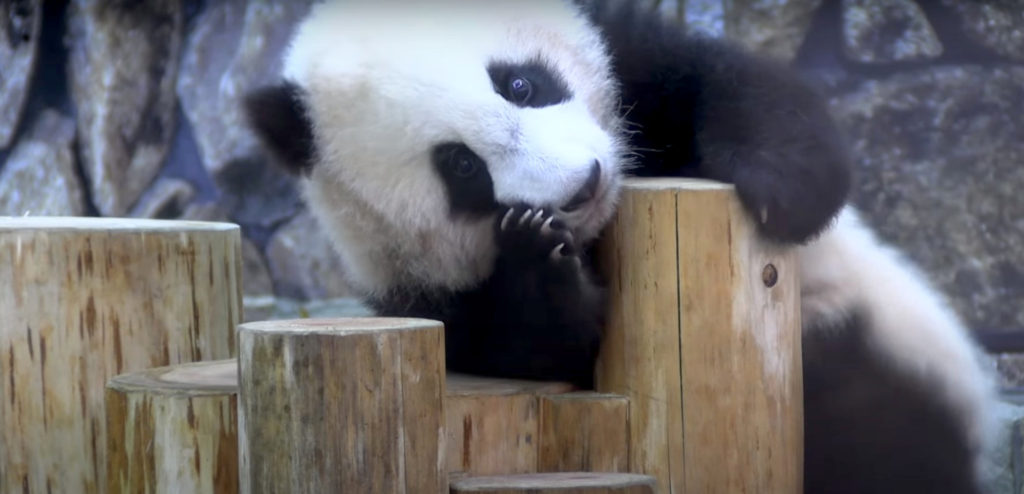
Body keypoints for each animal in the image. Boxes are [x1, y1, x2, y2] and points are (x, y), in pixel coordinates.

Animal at [243, 1, 997, 492]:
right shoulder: (417, 285)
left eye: (520, 83)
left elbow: (738, 86)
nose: (583, 186)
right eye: (459, 165)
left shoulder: (630, 63)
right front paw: (537, 259)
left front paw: (776, 185)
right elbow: (533, 345)